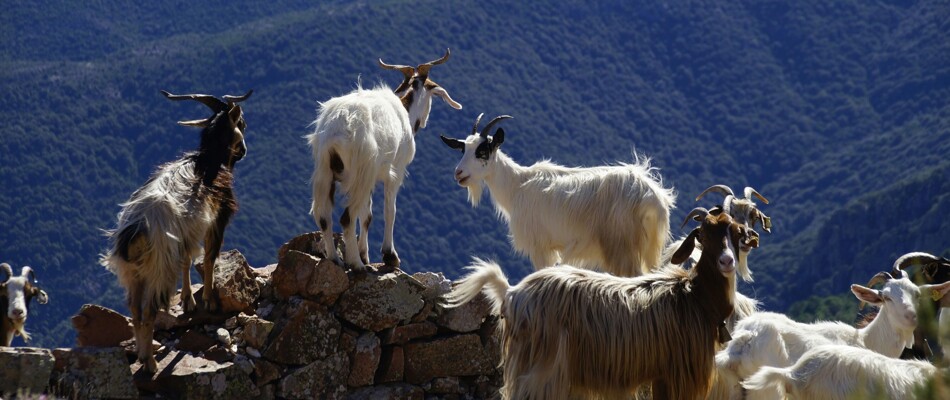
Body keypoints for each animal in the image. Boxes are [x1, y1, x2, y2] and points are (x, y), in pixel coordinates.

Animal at [100, 89, 252, 372]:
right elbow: (210, 258)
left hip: (132, 272)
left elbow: (187, 260)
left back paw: (143, 354)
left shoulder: (185, 235)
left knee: (135, 310)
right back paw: (150, 364)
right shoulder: (216, 220)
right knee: (149, 312)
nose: (244, 151)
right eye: (241, 123)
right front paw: (208, 300)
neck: (209, 162)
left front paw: (188, 301)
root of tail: (136, 229)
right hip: (159, 267)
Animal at [308, 49, 462, 271]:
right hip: (361, 171)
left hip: (326, 170)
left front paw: (365, 254)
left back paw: (335, 259)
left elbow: (367, 216)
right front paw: (389, 255)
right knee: (346, 217)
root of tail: (338, 128)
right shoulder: (394, 172)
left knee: (324, 216)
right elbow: (390, 211)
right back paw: (356, 264)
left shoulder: (370, 179)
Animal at [440, 114, 675, 277]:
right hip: (646, 247)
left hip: (621, 244)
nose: (458, 173)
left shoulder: (540, 246)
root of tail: (652, 196)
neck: (517, 186)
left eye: (482, 151)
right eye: (463, 150)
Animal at [445, 208, 759, 399]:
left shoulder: (660, 372)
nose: (727, 262)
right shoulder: (677, 372)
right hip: (542, 366)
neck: (695, 297)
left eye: (736, 233)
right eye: (702, 235)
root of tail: (511, 293)